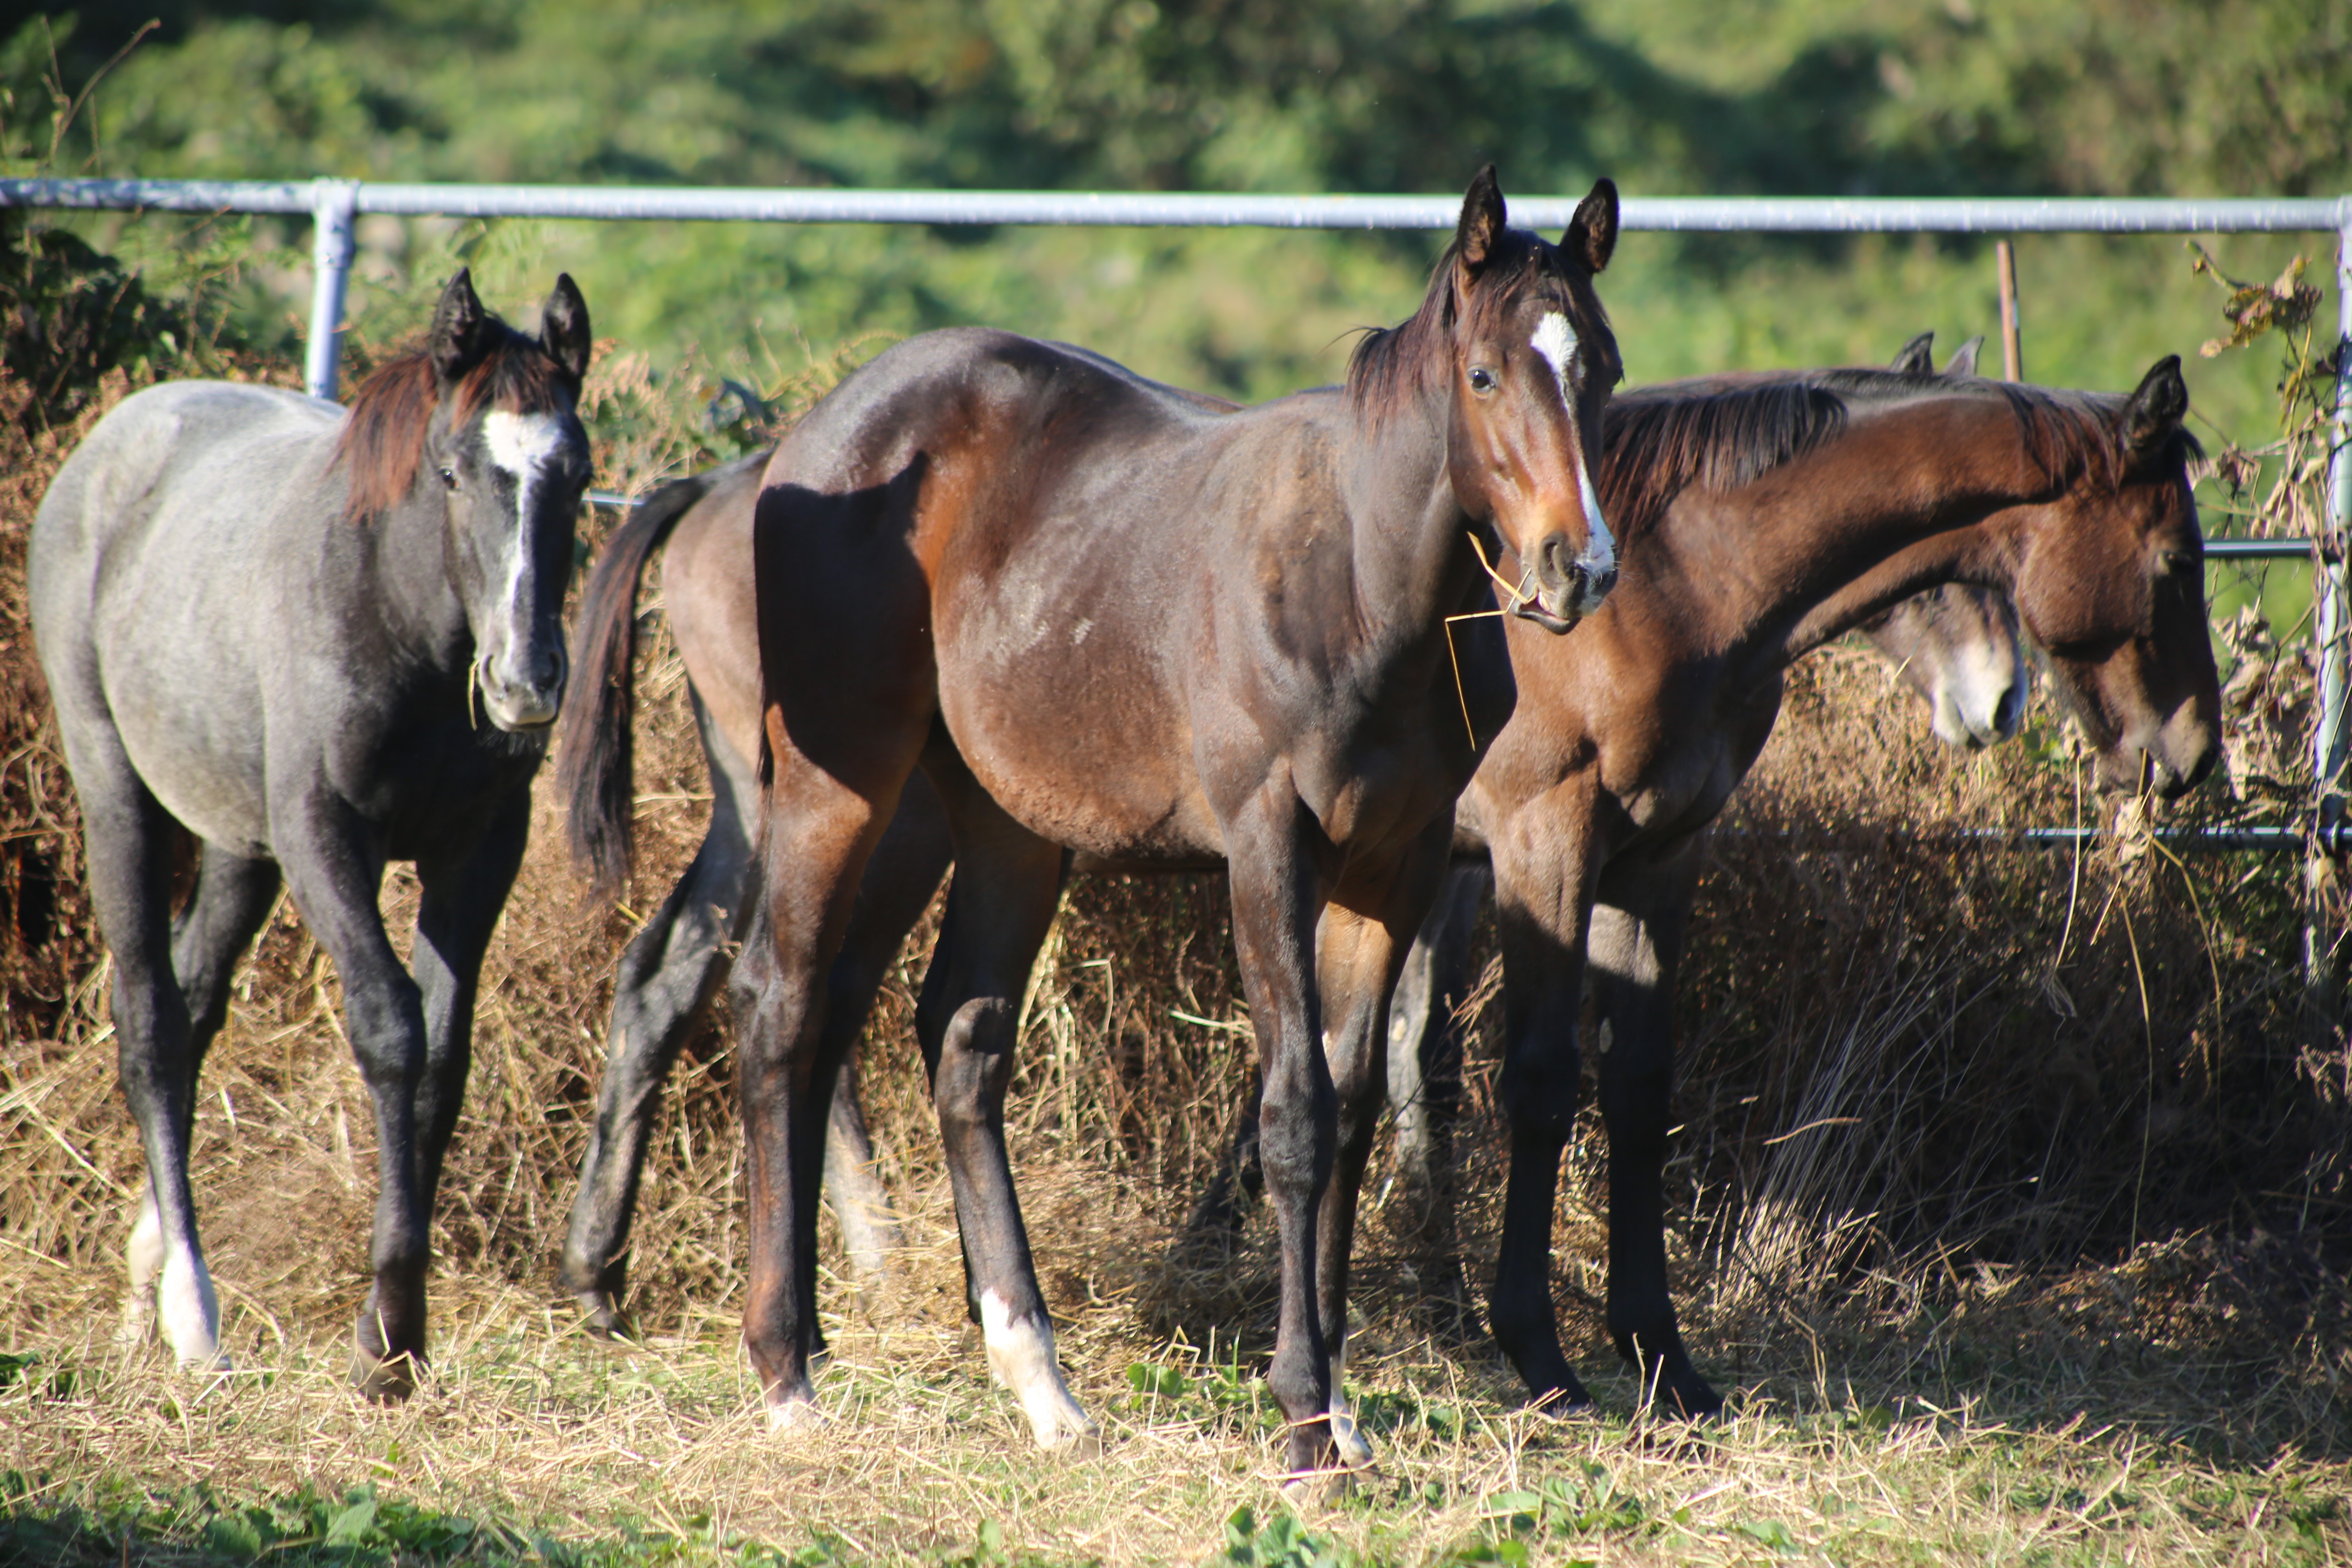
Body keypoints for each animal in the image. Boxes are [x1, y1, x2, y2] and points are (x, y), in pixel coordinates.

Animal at [31, 270, 592, 1401]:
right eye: (455, 472)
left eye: (580, 473)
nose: (525, 681)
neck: (399, 618)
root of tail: (116, 438)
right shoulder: (324, 839)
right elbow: (390, 1029)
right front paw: (389, 1343)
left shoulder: (479, 851)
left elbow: (445, 1055)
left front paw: (393, 1329)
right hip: (117, 790)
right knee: (150, 1021)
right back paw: (194, 1315)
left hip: (239, 845)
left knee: (196, 1006)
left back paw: (150, 1282)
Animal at [734, 172, 1618, 1486]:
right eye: (1486, 375)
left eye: (1599, 368)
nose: (1576, 568)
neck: (1358, 589)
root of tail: (814, 438)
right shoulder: (1268, 849)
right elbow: (1294, 1113)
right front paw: (1301, 1418)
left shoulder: (1392, 866)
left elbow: (1353, 1110)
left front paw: (1340, 1408)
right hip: (837, 783)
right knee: (782, 1005)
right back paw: (787, 1368)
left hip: (993, 823)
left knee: (955, 1036)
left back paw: (1038, 1383)